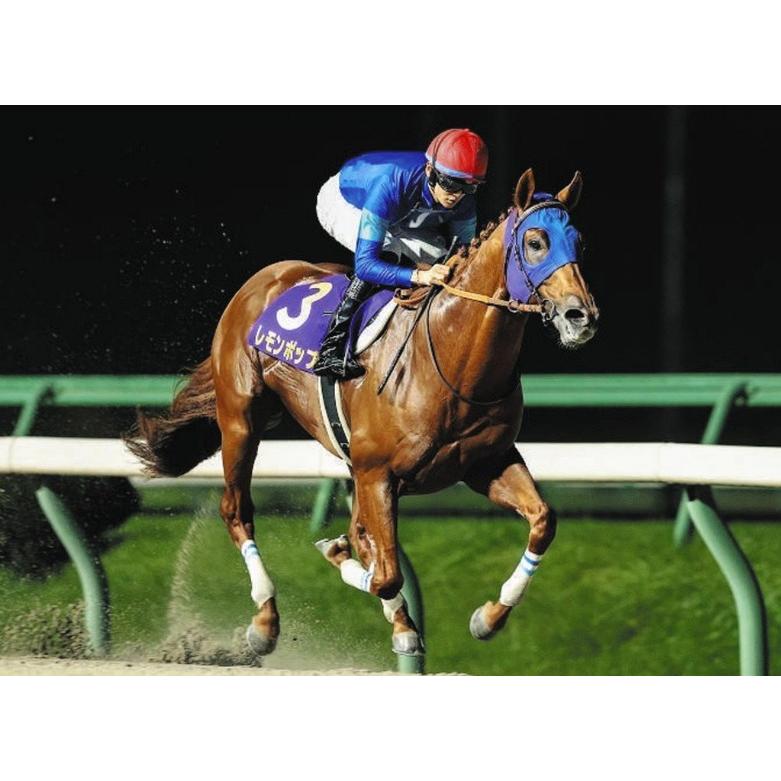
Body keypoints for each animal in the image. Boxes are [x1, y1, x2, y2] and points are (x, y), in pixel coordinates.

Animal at [124, 167, 599, 661]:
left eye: (579, 242)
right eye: (536, 241)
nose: (581, 316)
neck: (453, 362)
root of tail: (262, 279)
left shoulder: (486, 462)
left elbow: (542, 521)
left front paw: (488, 618)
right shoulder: (377, 473)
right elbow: (385, 572)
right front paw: (344, 561)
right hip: (241, 418)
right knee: (237, 509)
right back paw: (265, 620)